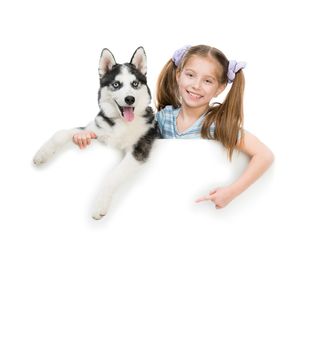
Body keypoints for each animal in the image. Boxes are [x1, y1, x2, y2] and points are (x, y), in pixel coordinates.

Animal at [32, 47, 159, 219]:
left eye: (135, 84)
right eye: (116, 84)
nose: (130, 99)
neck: (122, 123)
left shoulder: (139, 150)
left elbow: (112, 176)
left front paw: (100, 204)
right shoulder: (94, 130)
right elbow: (61, 133)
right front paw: (42, 154)